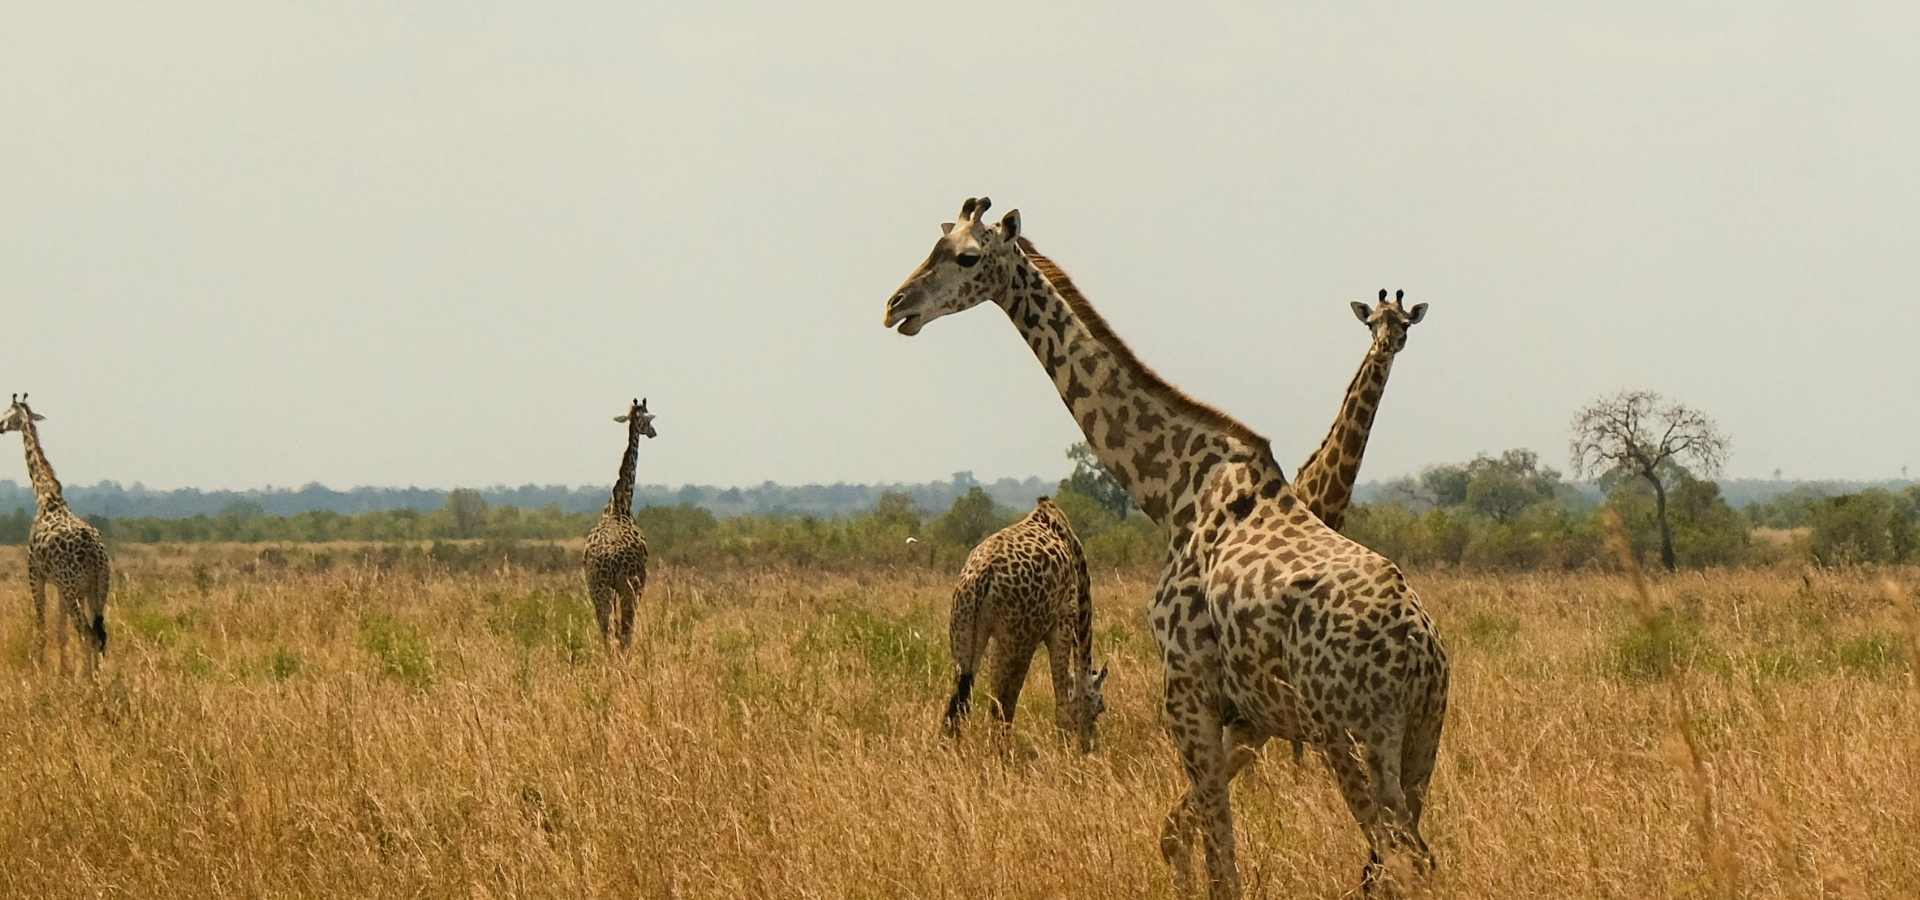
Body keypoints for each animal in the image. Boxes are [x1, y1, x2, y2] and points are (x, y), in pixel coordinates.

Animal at [0, 394, 110, 676]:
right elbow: (62, 633)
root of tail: (96, 555)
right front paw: (63, 673)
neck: (46, 497)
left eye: (8, 413)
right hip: (98, 589)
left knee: (87, 632)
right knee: (98, 633)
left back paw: (90, 679)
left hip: (74, 590)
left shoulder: (35, 573)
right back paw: (97, 675)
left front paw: (38, 669)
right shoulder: (61, 586)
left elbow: (42, 627)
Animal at [583, 397, 656, 652]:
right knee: (624, 631)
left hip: (598, 587)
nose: (654, 432)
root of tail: (609, 557)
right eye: (647, 419)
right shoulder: (639, 583)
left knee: (606, 631)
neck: (620, 505)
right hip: (626, 587)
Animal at [943, 496, 1110, 753]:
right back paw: (1002, 754)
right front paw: (1063, 751)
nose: (1089, 746)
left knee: (961, 701)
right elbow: (1061, 701)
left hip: (965, 631)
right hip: (1020, 638)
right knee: (1003, 703)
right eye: (1100, 707)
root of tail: (981, 576)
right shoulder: (1063, 624)